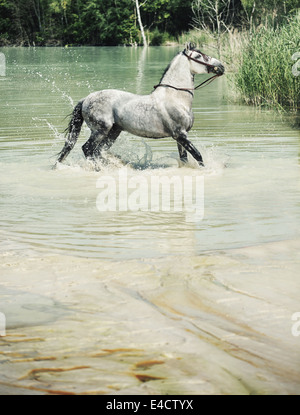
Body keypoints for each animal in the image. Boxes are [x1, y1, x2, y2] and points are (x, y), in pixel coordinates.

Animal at [55, 43, 225, 168]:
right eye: (198, 56)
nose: (221, 66)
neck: (176, 98)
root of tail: (86, 99)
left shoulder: (180, 138)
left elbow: (184, 159)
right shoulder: (180, 135)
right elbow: (198, 155)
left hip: (113, 132)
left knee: (98, 152)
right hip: (100, 130)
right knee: (88, 149)